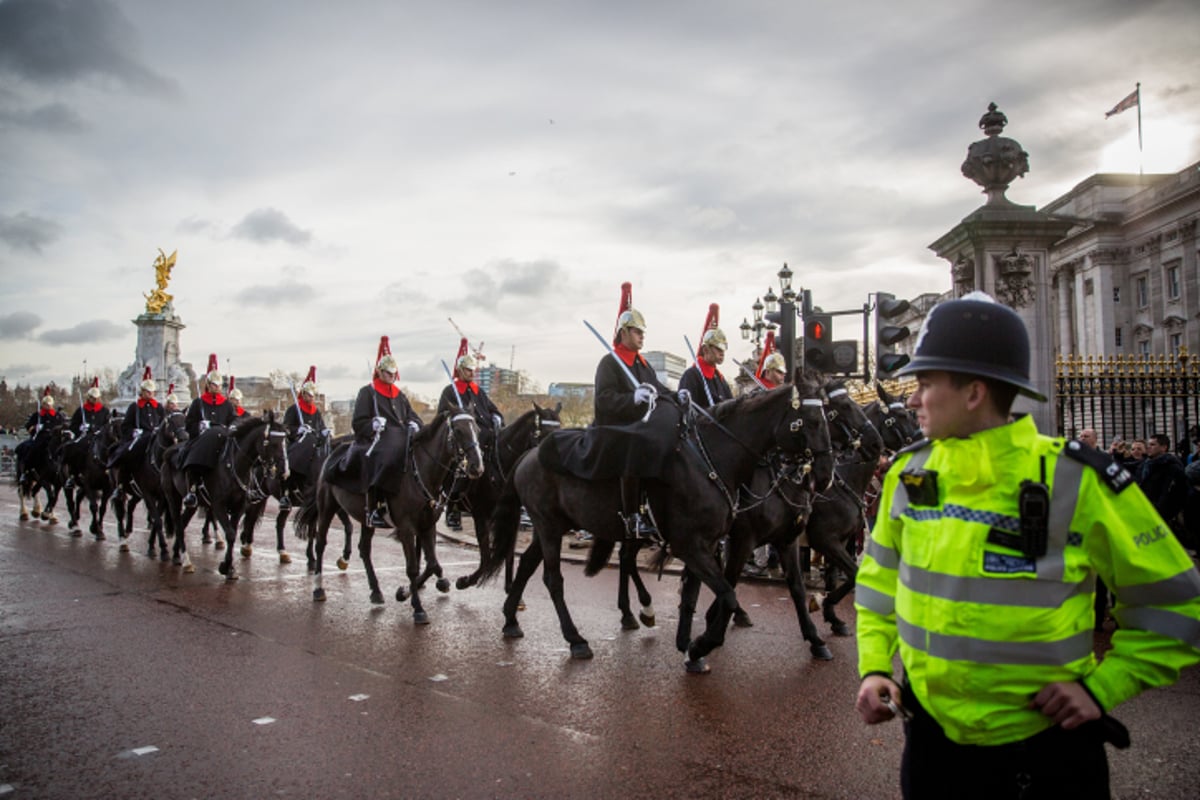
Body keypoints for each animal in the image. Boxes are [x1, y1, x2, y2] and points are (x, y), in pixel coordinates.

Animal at [162, 412, 290, 582]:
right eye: (273, 443)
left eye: (285, 442)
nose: (285, 471)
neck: (234, 465)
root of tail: (170, 451)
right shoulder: (218, 505)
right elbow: (230, 533)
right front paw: (226, 566)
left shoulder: (239, 507)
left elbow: (233, 534)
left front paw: (229, 568)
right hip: (173, 498)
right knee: (177, 524)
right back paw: (186, 561)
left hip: (193, 505)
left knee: (182, 524)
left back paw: (177, 555)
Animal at [292, 407, 484, 623]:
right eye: (458, 431)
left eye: (477, 429)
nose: (477, 466)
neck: (420, 473)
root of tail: (334, 451)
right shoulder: (407, 528)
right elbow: (412, 567)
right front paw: (418, 608)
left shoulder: (427, 525)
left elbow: (432, 563)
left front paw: (406, 592)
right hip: (327, 507)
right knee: (321, 543)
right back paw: (318, 588)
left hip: (365, 518)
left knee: (364, 549)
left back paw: (375, 591)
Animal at [451, 402, 564, 592]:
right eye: (545, 435)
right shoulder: (481, 515)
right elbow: (487, 556)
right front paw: (467, 580)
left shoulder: (512, 516)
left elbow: (509, 553)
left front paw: (510, 586)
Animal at [477, 383, 835, 671]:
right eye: (813, 420)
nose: (826, 474)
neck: (712, 460)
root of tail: (530, 454)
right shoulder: (699, 544)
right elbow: (729, 594)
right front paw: (701, 644)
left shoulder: (717, 544)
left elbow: (699, 594)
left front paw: (689, 646)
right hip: (550, 526)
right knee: (554, 580)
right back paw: (577, 639)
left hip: (550, 526)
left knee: (528, 563)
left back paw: (511, 619)